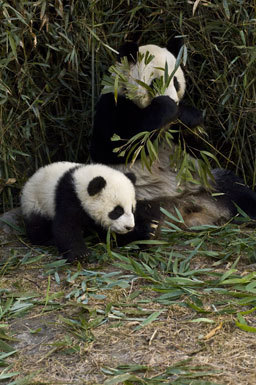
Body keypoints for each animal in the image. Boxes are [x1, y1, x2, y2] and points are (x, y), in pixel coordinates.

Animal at [20, 160, 160, 262]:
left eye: (131, 209)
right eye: (117, 211)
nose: (129, 227)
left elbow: (110, 237)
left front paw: (149, 232)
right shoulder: (69, 197)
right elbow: (66, 226)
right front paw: (80, 254)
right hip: (35, 202)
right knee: (37, 225)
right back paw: (47, 240)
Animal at [89, 33, 256, 228]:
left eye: (176, 82)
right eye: (155, 82)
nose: (174, 104)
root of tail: (182, 211)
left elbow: (201, 149)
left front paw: (187, 116)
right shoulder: (113, 104)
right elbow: (112, 147)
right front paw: (166, 107)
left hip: (208, 184)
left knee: (236, 189)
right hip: (131, 197)